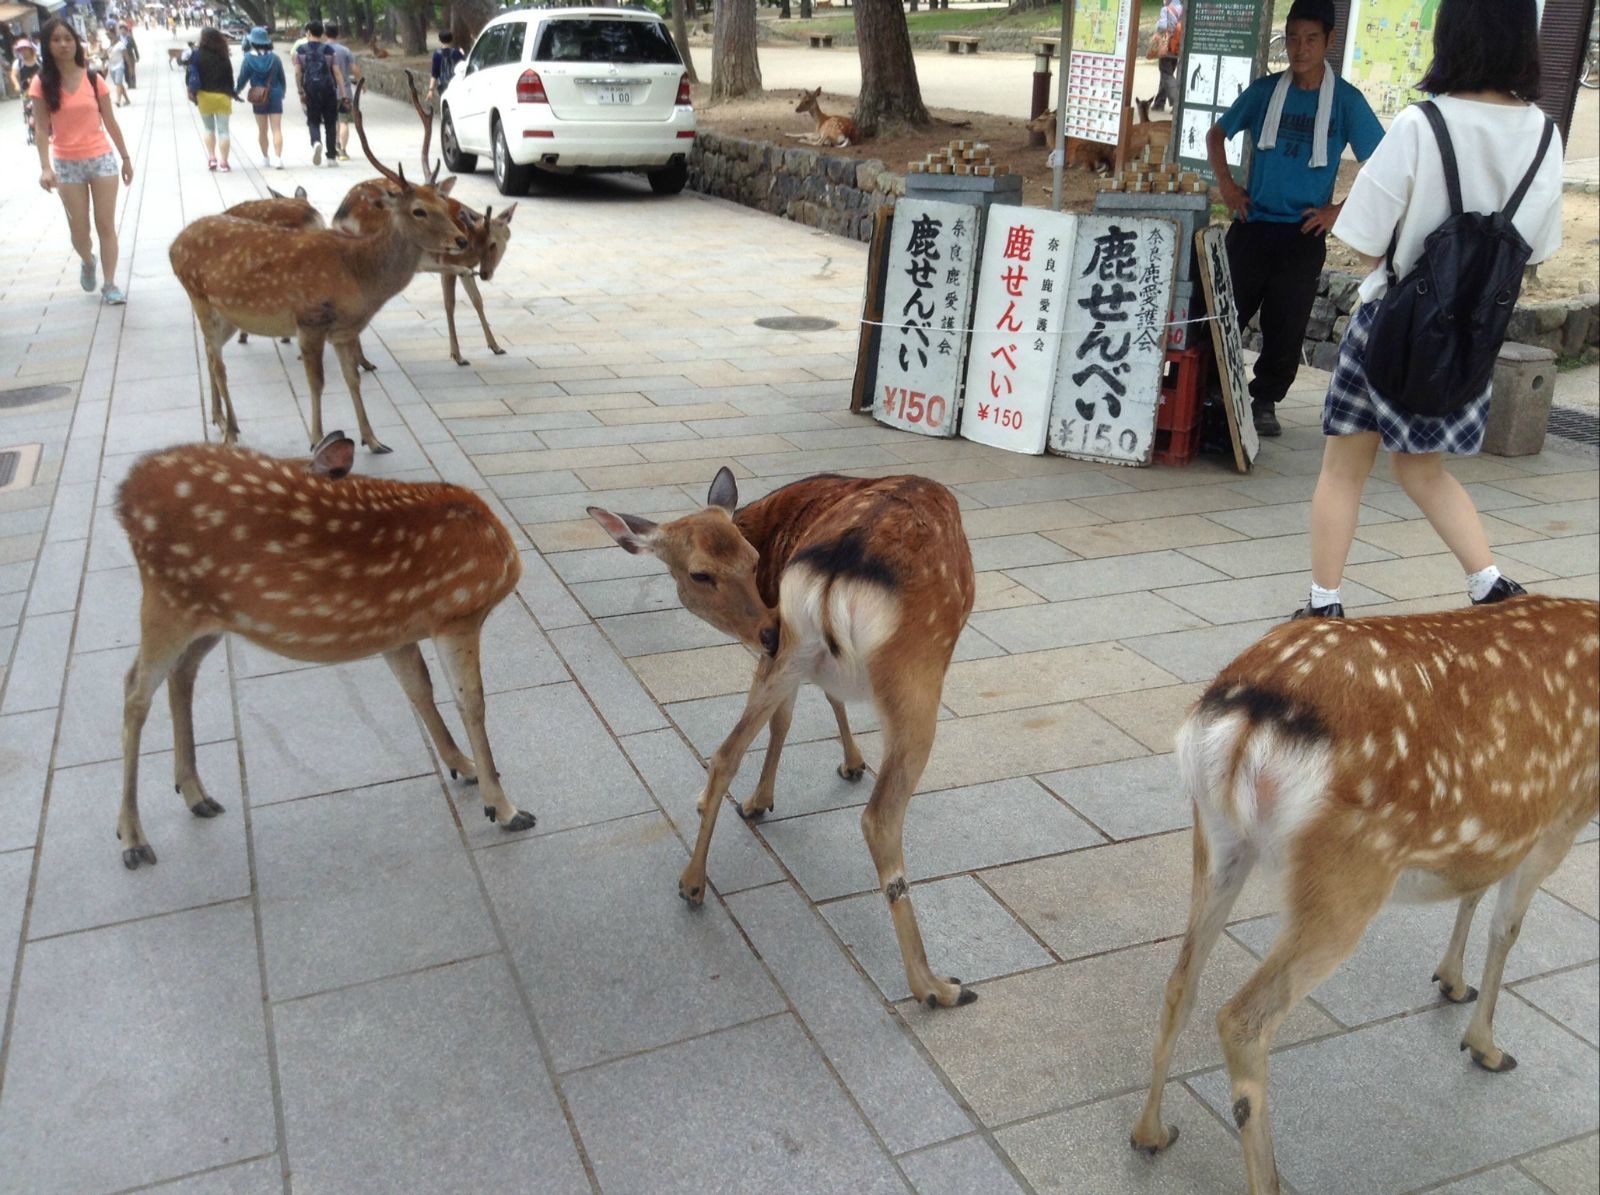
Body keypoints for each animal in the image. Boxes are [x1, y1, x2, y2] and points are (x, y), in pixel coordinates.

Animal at [116, 428, 537, 870]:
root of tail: (124, 495)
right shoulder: (458, 613)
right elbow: (472, 702)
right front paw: (505, 808)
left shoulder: (397, 630)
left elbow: (418, 689)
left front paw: (464, 766)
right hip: (167, 599)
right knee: (135, 689)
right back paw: (133, 838)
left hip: (209, 615)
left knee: (181, 674)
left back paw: (196, 794)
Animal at [170, 79, 467, 454]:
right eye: (419, 210)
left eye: (442, 202)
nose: (462, 240)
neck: (358, 276)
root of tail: (173, 245)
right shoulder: (309, 320)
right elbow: (317, 383)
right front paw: (316, 440)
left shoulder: (344, 330)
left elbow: (353, 379)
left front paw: (373, 439)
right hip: (200, 299)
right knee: (217, 361)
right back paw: (231, 431)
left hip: (227, 314)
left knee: (211, 353)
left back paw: (219, 419)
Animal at [336, 69, 521, 366]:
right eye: (490, 243)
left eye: (501, 241)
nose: (485, 273)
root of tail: (342, 213)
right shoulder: (447, 263)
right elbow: (450, 304)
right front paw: (457, 355)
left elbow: (477, 300)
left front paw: (495, 346)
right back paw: (361, 360)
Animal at [595, 467, 979, 1011]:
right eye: (700, 574)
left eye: (753, 559)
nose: (766, 627)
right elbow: (806, 712)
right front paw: (842, 768)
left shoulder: (782, 657)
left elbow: (798, 713)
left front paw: (773, 794)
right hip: (917, 672)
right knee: (880, 817)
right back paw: (936, 986)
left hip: (795, 646)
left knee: (724, 752)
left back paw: (693, 882)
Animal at [1126, 598, 1600, 1195]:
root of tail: (1249, 715)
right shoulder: (1564, 814)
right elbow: (1507, 928)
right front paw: (1486, 1047)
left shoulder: (1504, 829)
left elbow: (1473, 888)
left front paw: (1451, 981)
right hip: (1348, 873)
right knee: (1243, 1018)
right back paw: (1268, 1178)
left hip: (1217, 838)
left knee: (1180, 981)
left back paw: (1150, 1132)